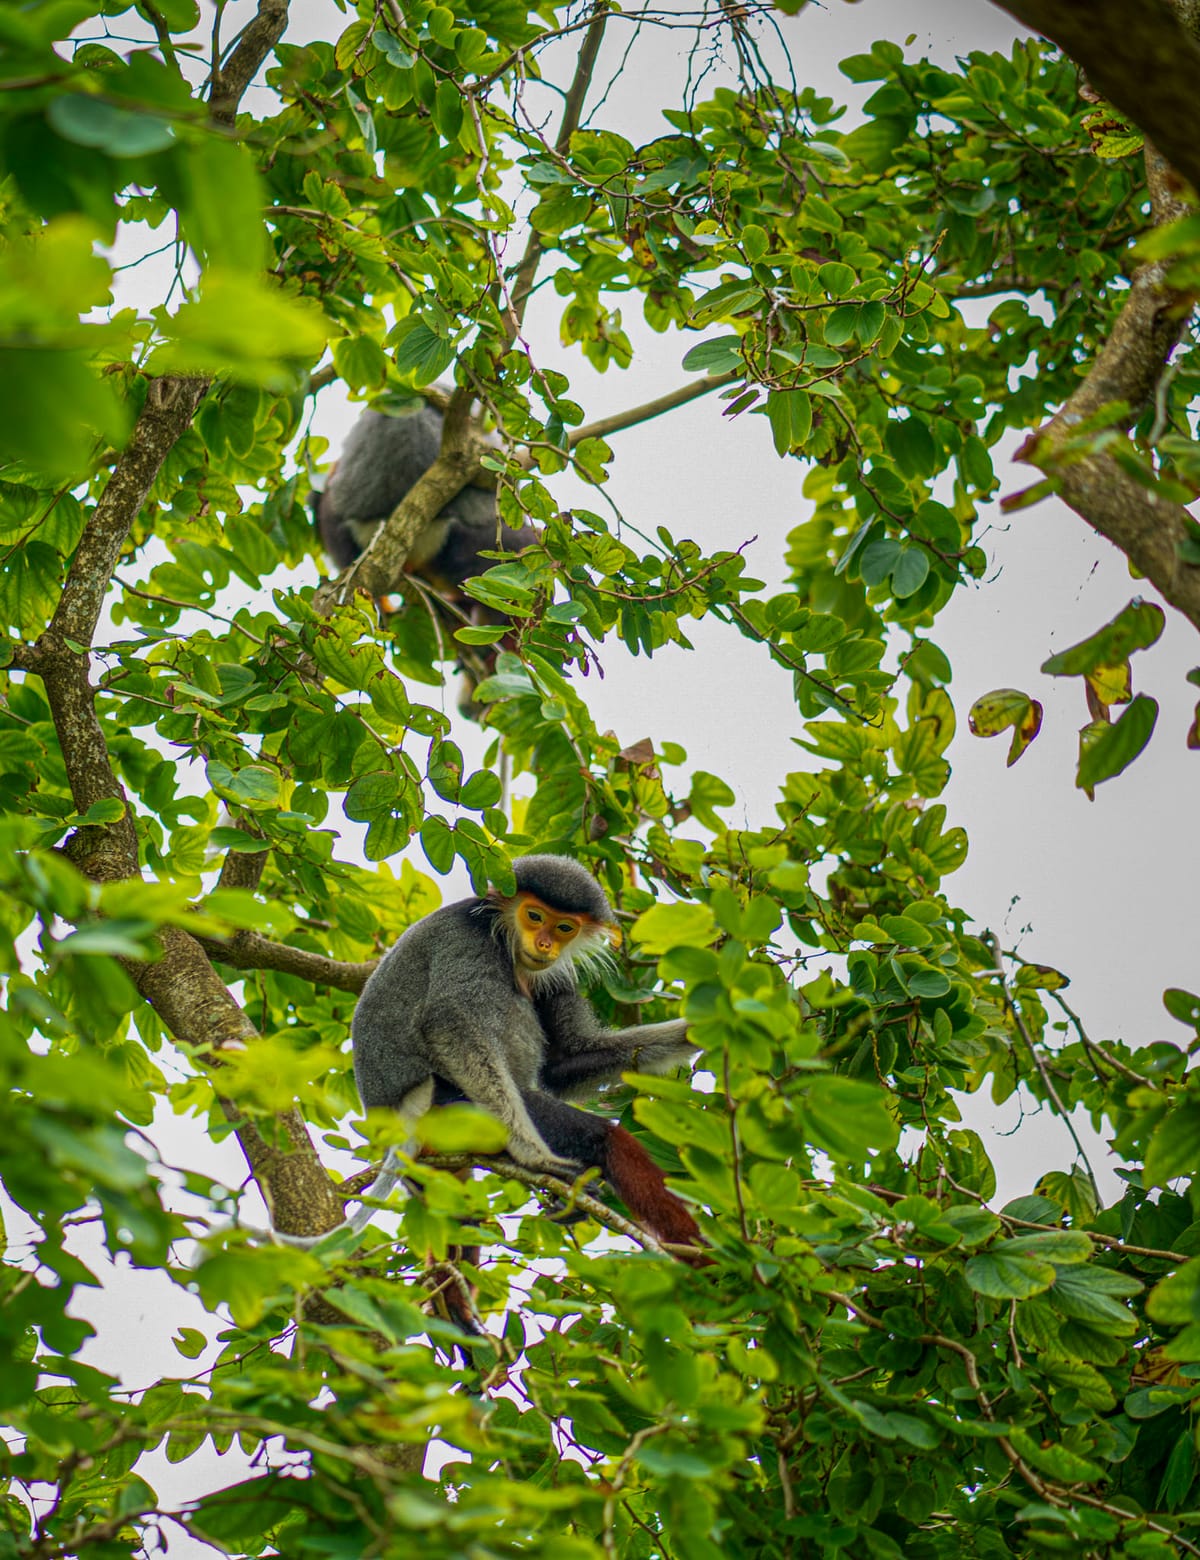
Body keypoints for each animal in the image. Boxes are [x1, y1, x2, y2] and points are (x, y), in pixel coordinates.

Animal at [352, 854, 711, 1266]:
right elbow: (450, 1026)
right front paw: (534, 1158)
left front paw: (709, 1026)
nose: (544, 943)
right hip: (449, 1109)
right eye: (534, 917)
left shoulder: (555, 973)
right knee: (605, 1137)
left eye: (564, 927)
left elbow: (567, 1058)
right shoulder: (466, 940)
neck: (502, 936)